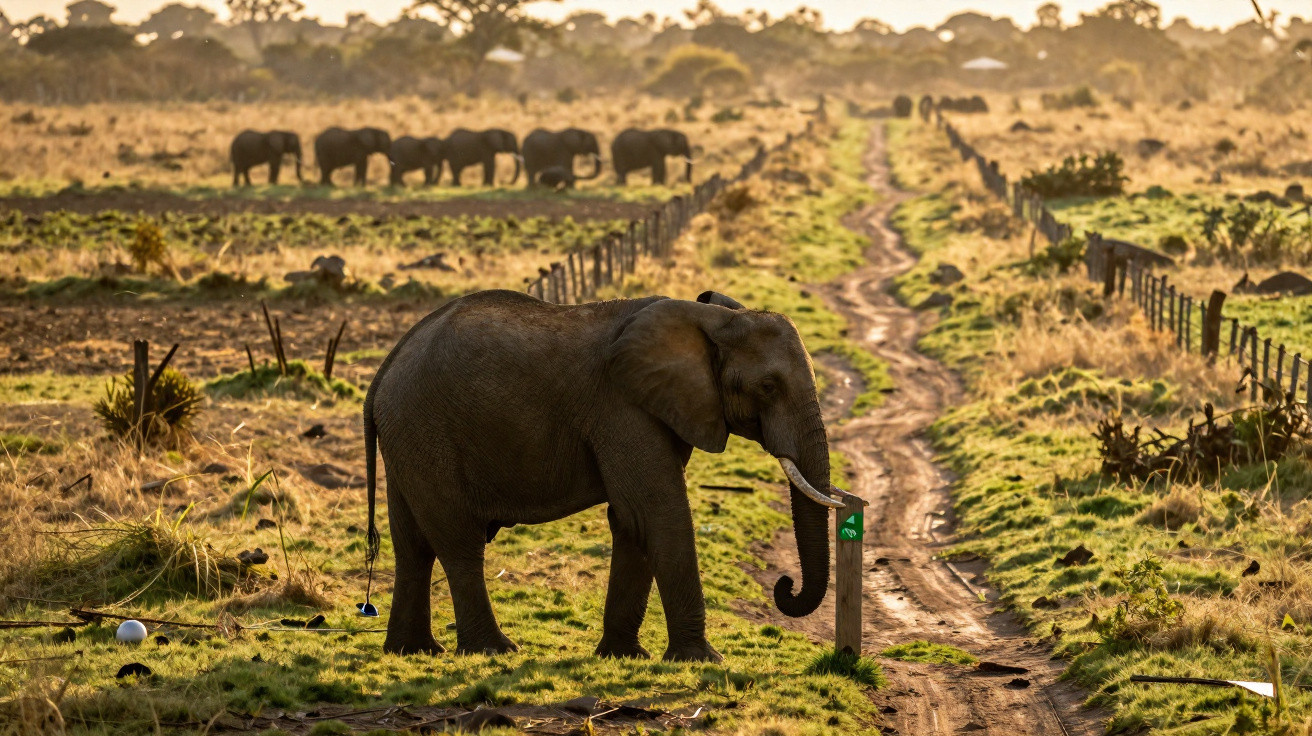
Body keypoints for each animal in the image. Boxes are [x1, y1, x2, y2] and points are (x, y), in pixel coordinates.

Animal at [363, 289, 842, 661]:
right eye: (768, 387)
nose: (784, 585)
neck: (710, 318)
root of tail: (385, 369)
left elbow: (632, 521)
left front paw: (623, 657)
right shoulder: (622, 406)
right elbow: (657, 513)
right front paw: (702, 660)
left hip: (407, 437)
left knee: (413, 545)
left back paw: (414, 651)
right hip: (427, 431)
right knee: (459, 543)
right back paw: (494, 650)